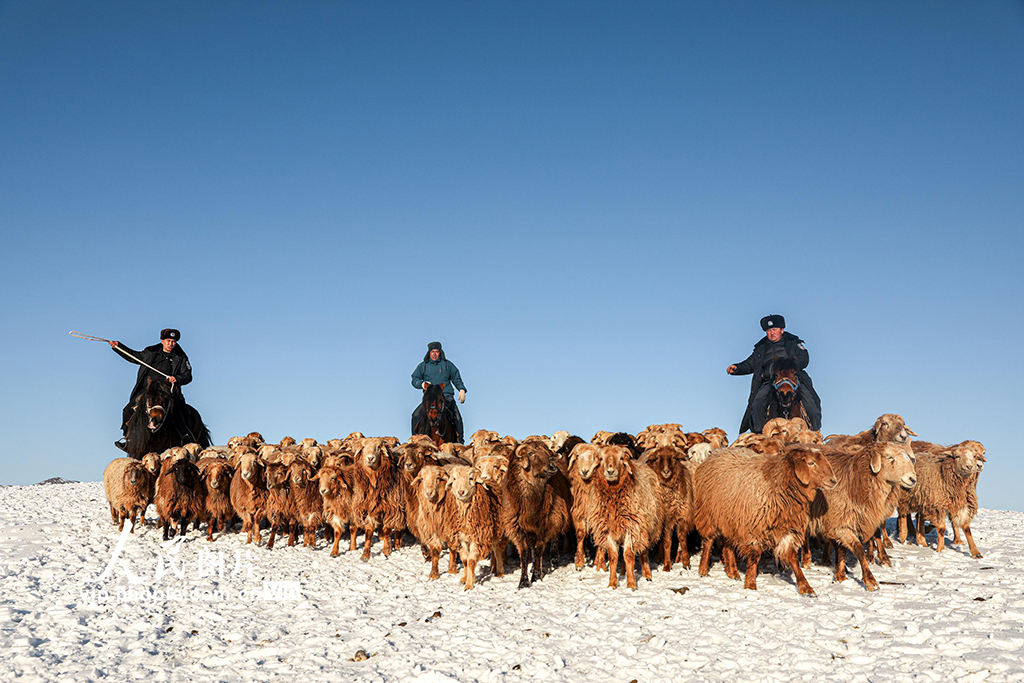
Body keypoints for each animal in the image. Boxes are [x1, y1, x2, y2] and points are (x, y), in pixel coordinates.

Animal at [692, 446, 835, 593]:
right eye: (811, 463)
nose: (833, 481)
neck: (779, 483)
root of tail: (718, 452)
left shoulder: (788, 529)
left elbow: (793, 557)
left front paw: (805, 588)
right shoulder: (753, 527)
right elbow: (755, 556)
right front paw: (750, 584)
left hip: (729, 519)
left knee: (728, 545)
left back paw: (733, 572)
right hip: (707, 514)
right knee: (708, 541)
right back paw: (703, 570)